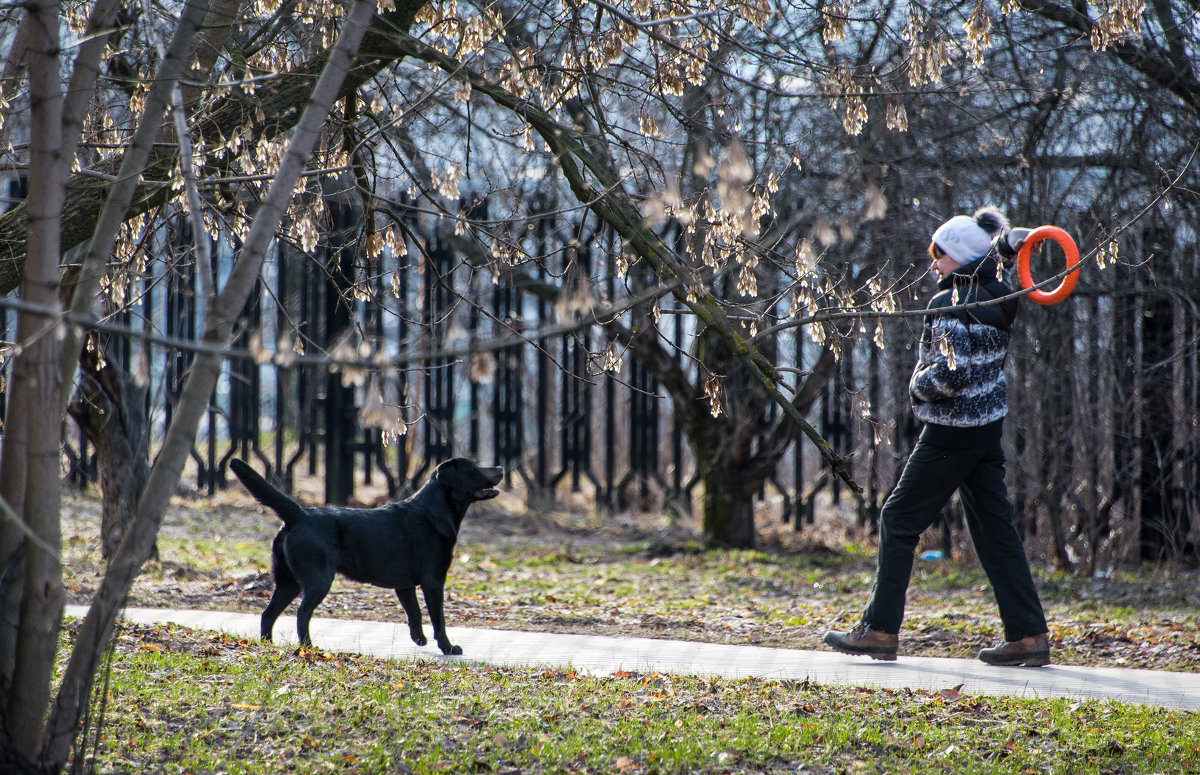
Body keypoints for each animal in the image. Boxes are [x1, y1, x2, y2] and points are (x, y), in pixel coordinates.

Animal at [229, 458, 501, 652]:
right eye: (473, 468)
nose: (499, 467)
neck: (433, 513)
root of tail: (299, 515)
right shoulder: (434, 581)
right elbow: (438, 619)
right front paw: (448, 647)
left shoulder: (405, 586)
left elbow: (414, 613)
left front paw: (419, 640)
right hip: (318, 580)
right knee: (302, 613)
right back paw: (308, 647)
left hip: (288, 582)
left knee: (268, 614)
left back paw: (268, 645)